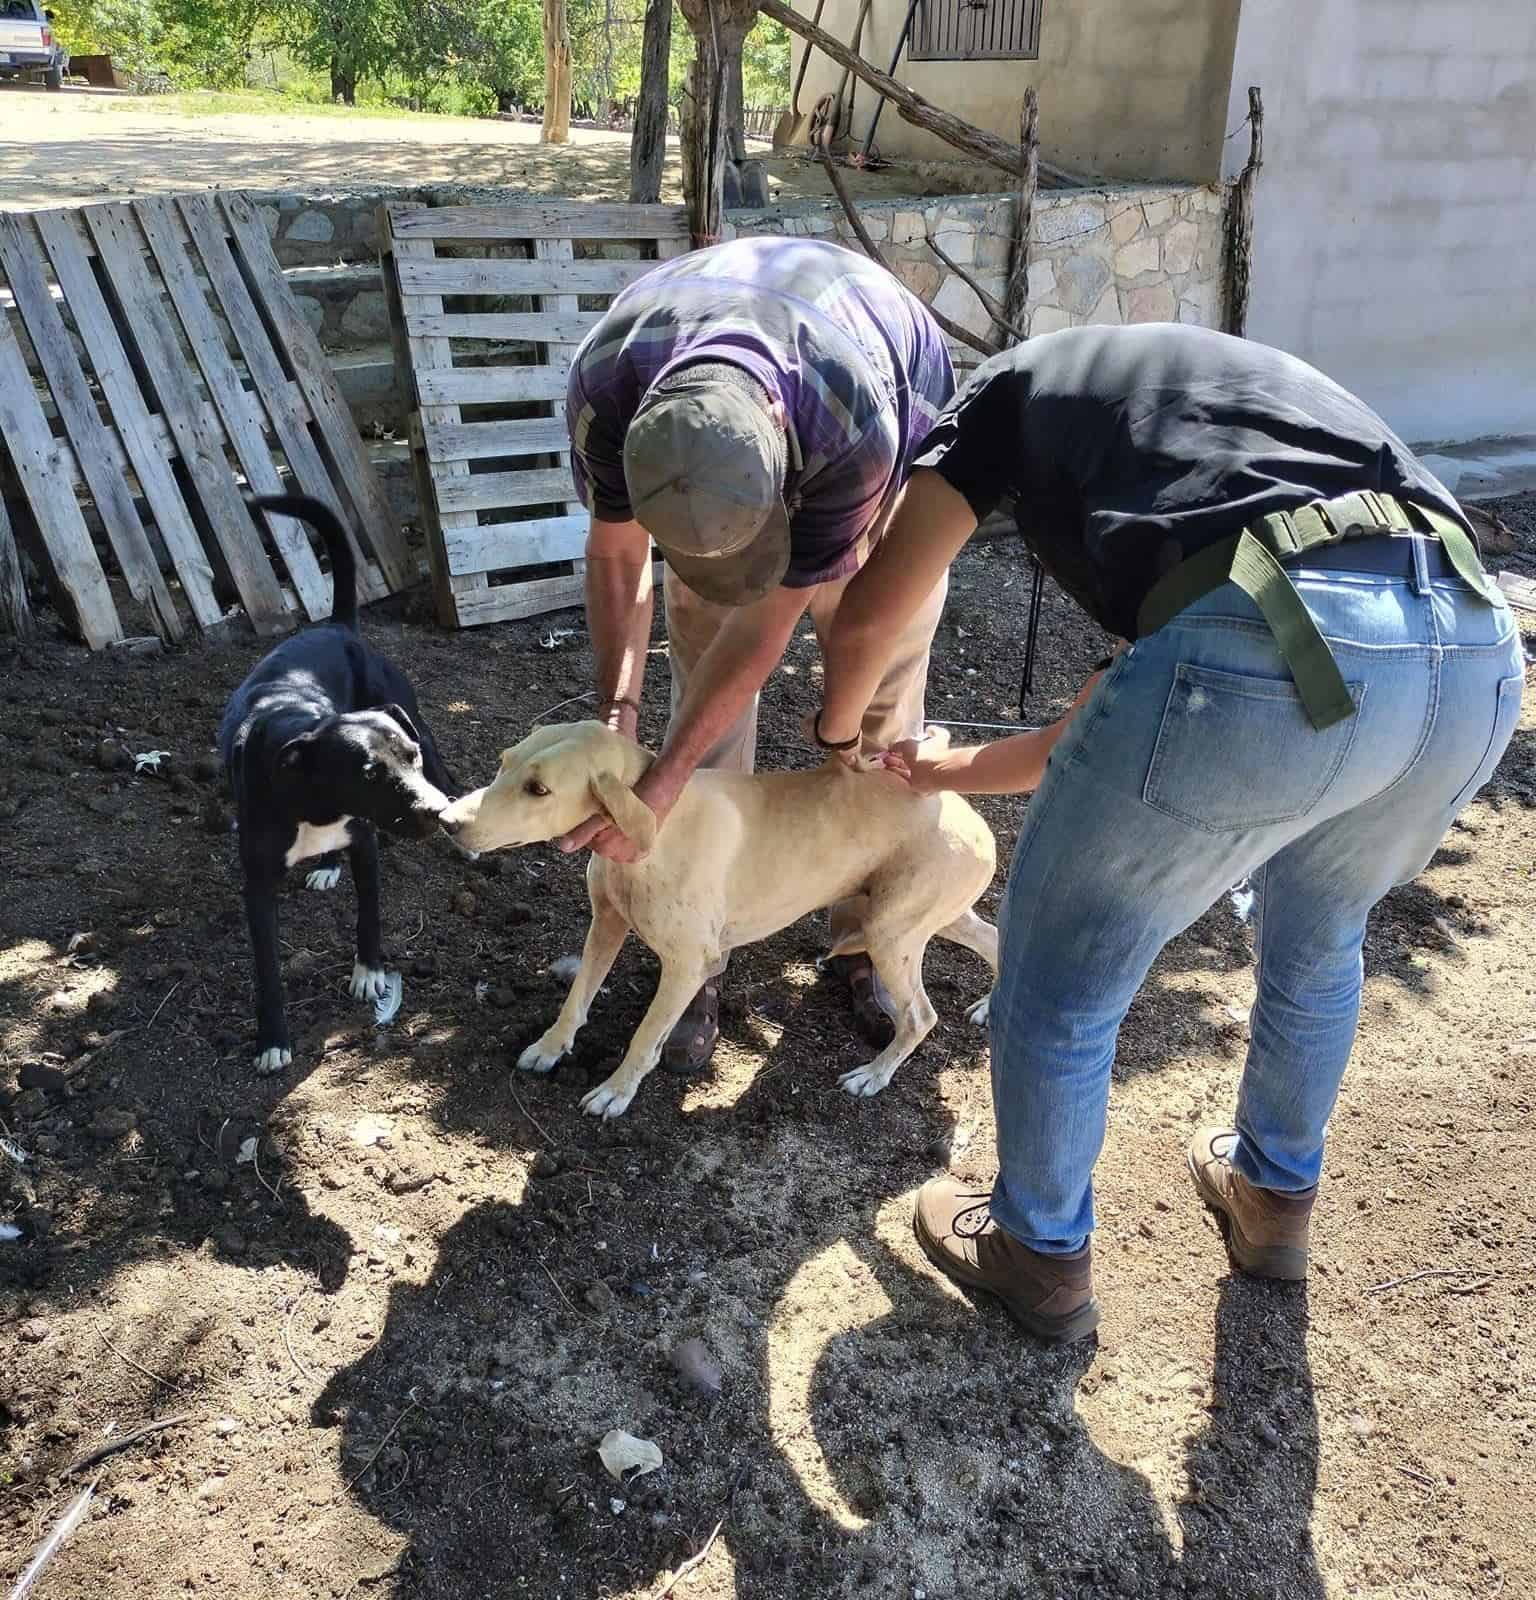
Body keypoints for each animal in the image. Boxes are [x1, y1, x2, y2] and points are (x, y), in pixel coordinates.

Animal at [219, 489, 454, 1075]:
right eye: (368, 773)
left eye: (410, 758)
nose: (435, 812)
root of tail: (338, 627)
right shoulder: (258, 885)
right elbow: (267, 969)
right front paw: (272, 1039)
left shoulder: (367, 843)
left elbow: (369, 917)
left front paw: (369, 973)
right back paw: (326, 865)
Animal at [438, 720, 1004, 1120]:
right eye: (504, 763)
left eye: (538, 790)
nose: (446, 821)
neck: (654, 829)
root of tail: (957, 803)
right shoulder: (606, 925)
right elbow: (576, 999)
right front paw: (550, 1048)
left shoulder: (687, 965)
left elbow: (646, 1035)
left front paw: (616, 1091)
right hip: (926, 919)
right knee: (996, 939)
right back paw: (988, 1007)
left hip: (891, 935)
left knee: (921, 1016)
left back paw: (873, 1075)